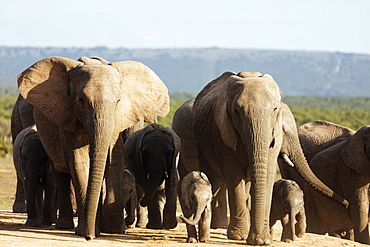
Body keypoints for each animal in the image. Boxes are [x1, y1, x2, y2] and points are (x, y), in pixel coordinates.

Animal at [15, 55, 169, 239]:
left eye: (118, 101)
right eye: (80, 100)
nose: (89, 238)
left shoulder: (116, 121)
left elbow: (114, 159)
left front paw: (113, 229)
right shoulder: (67, 116)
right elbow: (79, 161)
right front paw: (86, 231)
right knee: (60, 172)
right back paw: (64, 225)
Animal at [186, 71, 348, 245]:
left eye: (275, 109)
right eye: (236, 111)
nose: (346, 203)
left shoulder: (274, 135)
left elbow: (268, 175)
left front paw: (263, 240)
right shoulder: (221, 131)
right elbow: (234, 175)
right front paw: (240, 237)